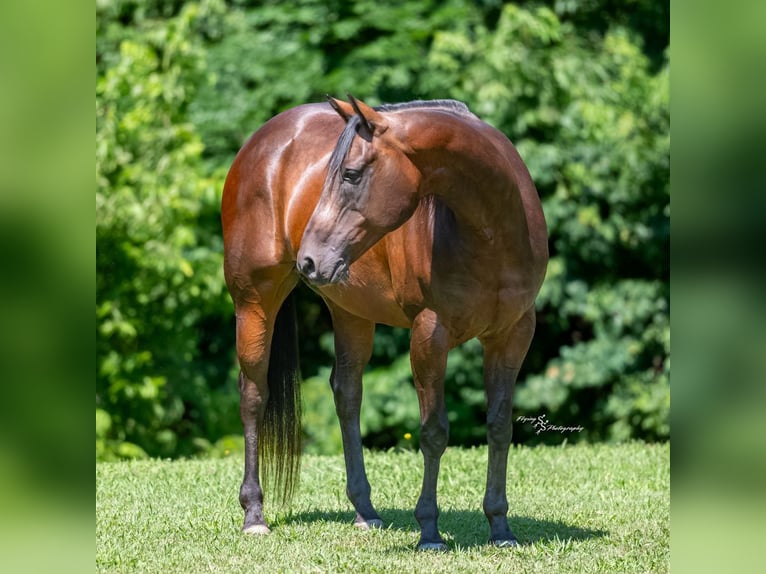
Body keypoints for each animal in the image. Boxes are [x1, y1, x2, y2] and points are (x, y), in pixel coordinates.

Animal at [221, 95, 548, 550]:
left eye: (351, 174)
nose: (309, 260)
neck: (490, 235)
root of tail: (261, 140)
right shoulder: (429, 335)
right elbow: (433, 432)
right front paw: (429, 531)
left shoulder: (513, 336)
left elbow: (499, 428)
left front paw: (500, 527)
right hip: (254, 302)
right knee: (253, 395)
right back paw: (254, 514)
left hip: (351, 311)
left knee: (347, 394)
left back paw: (365, 511)